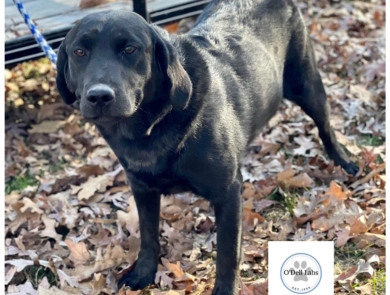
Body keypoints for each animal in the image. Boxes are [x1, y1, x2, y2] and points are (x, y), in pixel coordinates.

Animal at [56, 0, 358, 294]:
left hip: (307, 86)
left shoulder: (228, 193)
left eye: (130, 49)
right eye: (79, 52)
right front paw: (143, 273)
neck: (151, 126)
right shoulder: (142, 189)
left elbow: (227, 254)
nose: (99, 96)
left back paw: (345, 162)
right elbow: (148, 235)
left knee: (326, 126)